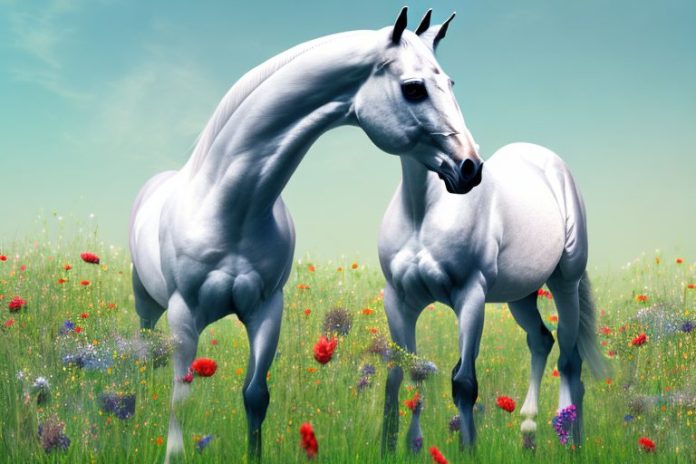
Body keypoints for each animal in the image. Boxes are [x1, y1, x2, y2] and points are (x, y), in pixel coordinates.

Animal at [128, 7, 483, 462]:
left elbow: (255, 396)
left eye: (450, 84)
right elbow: (181, 395)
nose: (471, 167)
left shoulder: (267, 309)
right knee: (143, 354)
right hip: (148, 305)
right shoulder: (183, 313)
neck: (230, 208)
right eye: (414, 89)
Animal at [378, 17, 608, 453]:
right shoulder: (399, 300)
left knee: (570, 360)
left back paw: (570, 440)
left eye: (450, 82)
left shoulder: (471, 296)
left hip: (565, 280)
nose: (468, 169)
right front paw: (397, 447)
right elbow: (402, 374)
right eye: (413, 87)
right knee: (541, 341)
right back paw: (529, 428)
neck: (423, 212)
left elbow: (464, 383)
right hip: (521, 294)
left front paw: (467, 450)